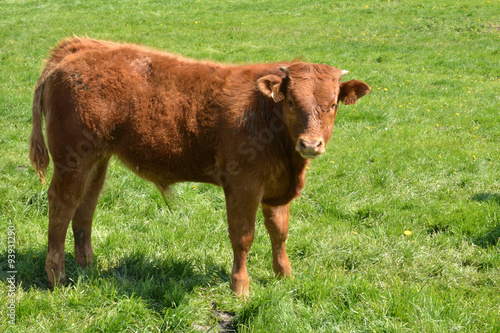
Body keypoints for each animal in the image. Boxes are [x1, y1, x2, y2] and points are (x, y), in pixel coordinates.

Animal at [29, 37, 370, 294]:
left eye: (332, 105)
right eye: (291, 102)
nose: (310, 144)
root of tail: (80, 47)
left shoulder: (276, 188)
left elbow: (279, 232)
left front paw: (284, 275)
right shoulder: (243, 184)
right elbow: (243, 236)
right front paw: (240, 287)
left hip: (97, 159)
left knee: (85, 207)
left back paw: (87, 267)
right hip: (72, 159)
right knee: (61, 206)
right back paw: (57, 276)